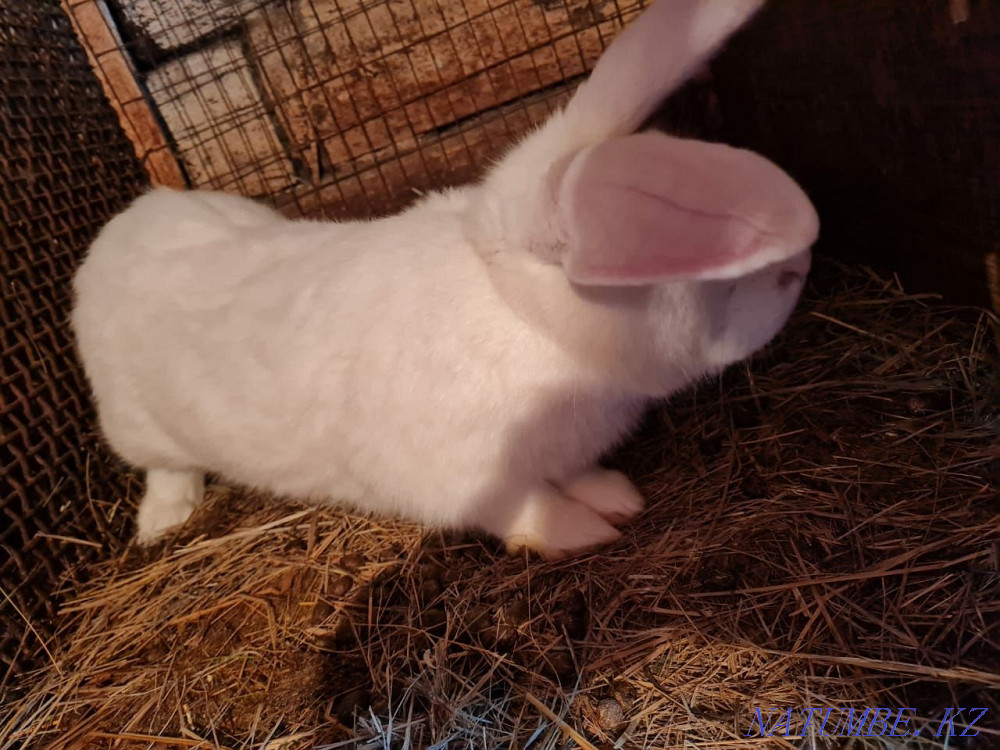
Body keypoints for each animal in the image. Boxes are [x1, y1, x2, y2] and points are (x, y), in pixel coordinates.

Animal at [71, 0, 818, 558]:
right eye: (710, 268)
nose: (802, 267)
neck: (519, 312)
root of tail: (118, 231)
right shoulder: (470, 478)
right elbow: (527, 509)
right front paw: (582, 532)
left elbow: (575, 473)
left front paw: (615, 496)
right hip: (138, 424)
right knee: (164, 468)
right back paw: (163, 523)